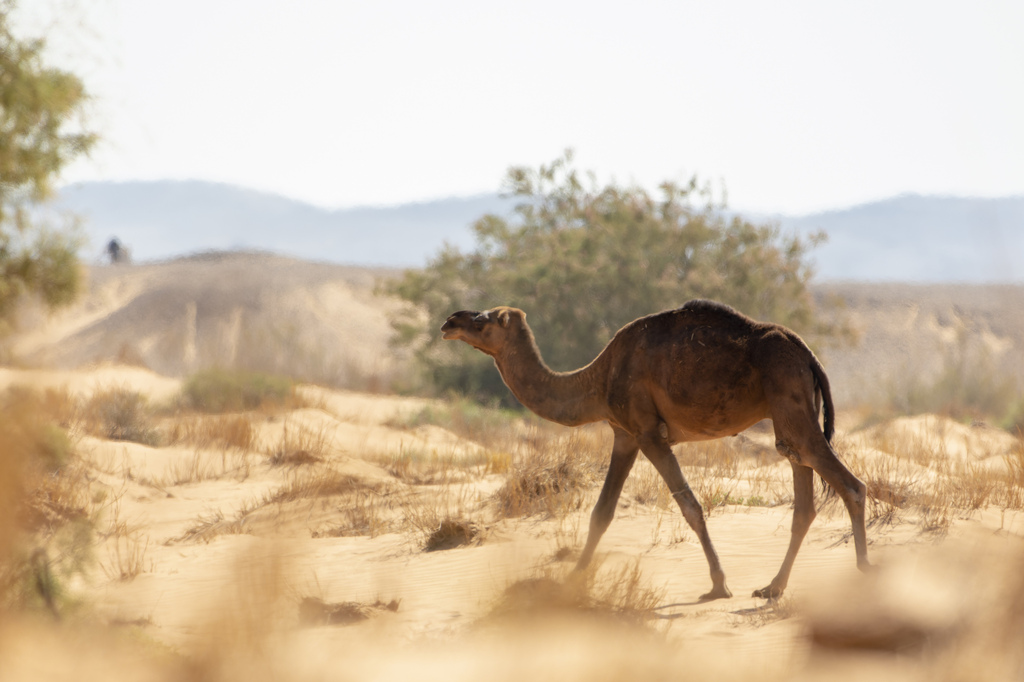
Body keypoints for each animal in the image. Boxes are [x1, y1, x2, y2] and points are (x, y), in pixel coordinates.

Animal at [441, 300, 869, 601]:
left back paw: (862, 573)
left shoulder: (648, 433)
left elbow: (690, 505)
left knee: (851, 485)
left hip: (791, 401)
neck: (597, 378)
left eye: (483, 320)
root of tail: (809, 355)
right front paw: (573, 579)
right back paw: (772, 587)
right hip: (790, 417)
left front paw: (718, 585)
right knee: (803, 494)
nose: (450, 321)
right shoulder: (624, 434)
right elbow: (602, 512)